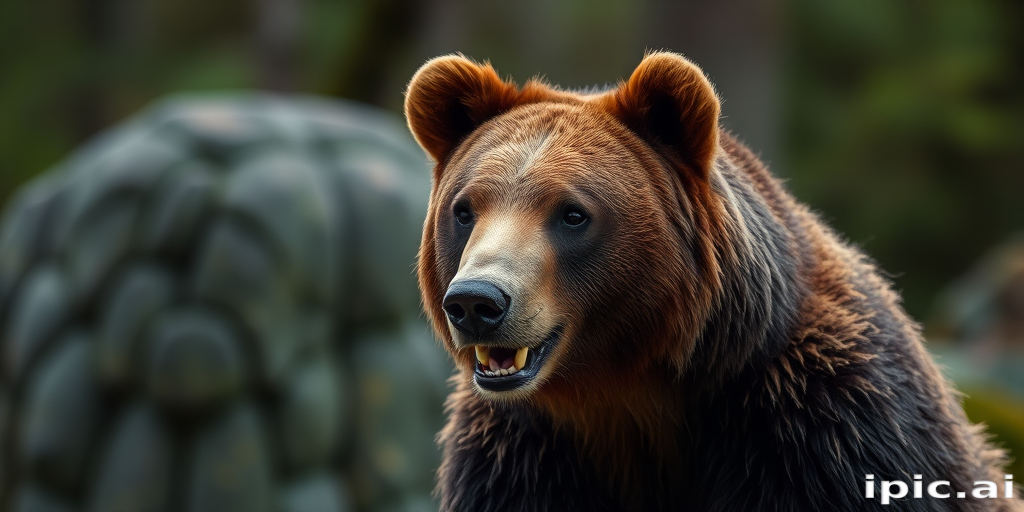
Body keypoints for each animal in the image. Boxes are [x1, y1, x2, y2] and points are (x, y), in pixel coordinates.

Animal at [403, 52, 1022, 512]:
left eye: (572, 213)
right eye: (465, 209)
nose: (477, 302)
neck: (628, 392)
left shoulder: (823, 428)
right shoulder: (517, 456)